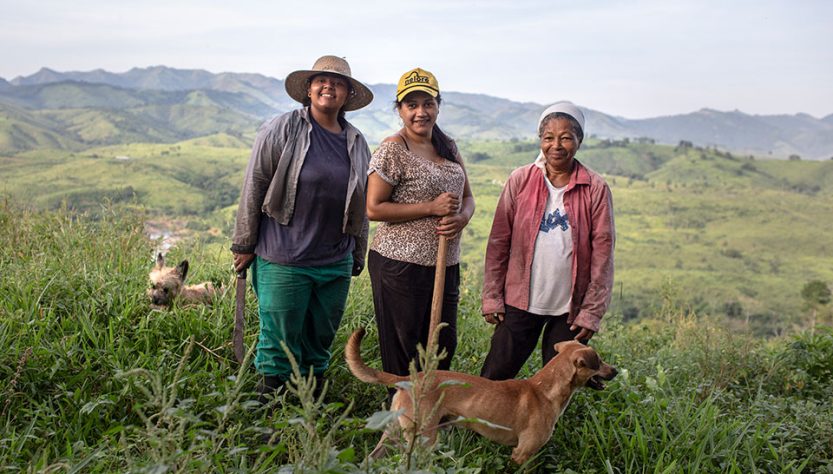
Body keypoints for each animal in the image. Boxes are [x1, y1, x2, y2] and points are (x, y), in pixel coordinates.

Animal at [342, 328, 616, 464]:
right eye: (600, 360)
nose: (614, 371)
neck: (545, 390)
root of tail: (407, 379)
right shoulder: (522, 454)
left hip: (394, 434)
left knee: (370, 459)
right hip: (423, 438)